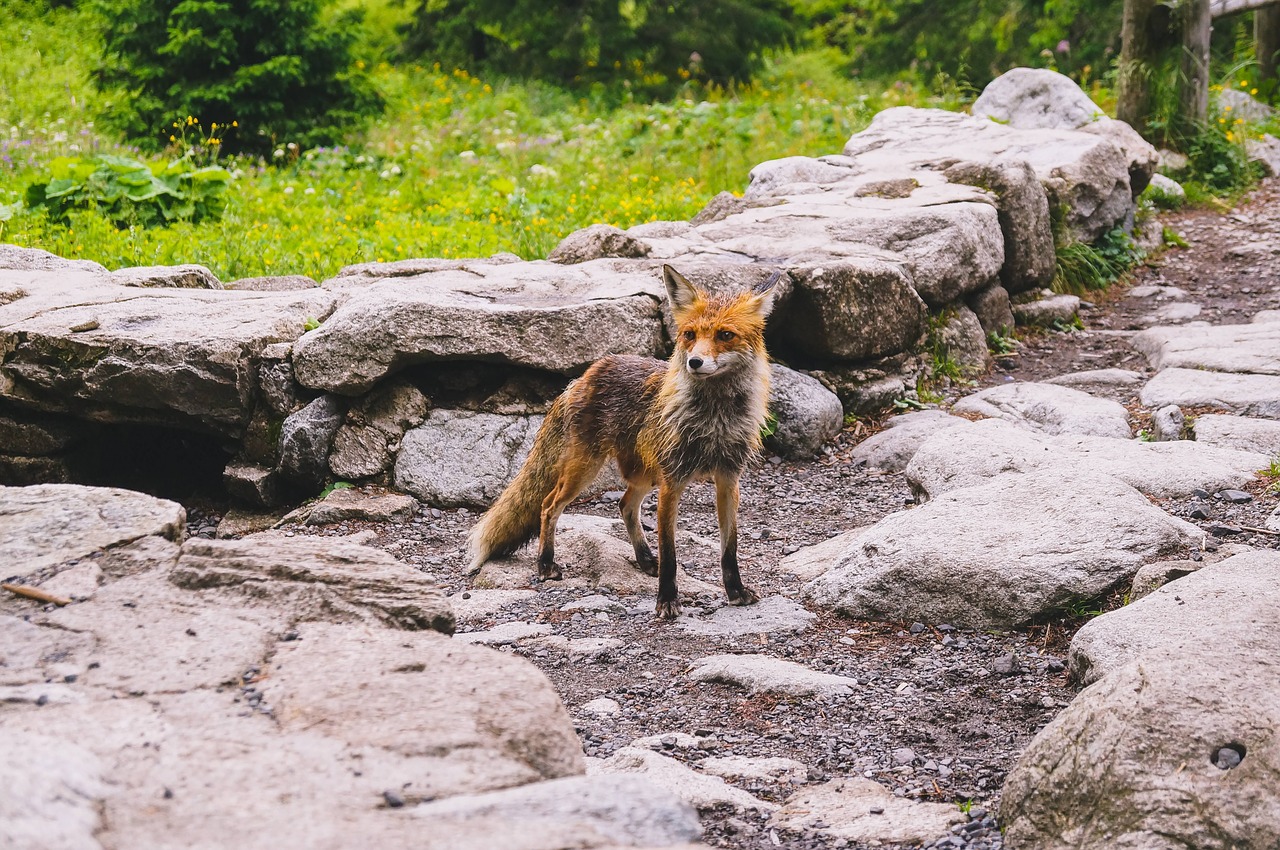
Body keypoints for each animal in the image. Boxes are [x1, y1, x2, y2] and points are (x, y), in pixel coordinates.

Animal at [463, 263, 778, 617]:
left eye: (725, 335)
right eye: (689, 335)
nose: (694, 362)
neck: (714, 421)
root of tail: (589, 371)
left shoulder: (728, 479)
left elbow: (729, 549)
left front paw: (736, 591)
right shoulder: (672, 481)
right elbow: (670, 553)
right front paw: (666, 601)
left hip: (645, 473)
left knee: (625, 505)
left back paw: (644, 559)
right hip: (586, 469)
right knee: (548, 505)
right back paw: (546, 564)